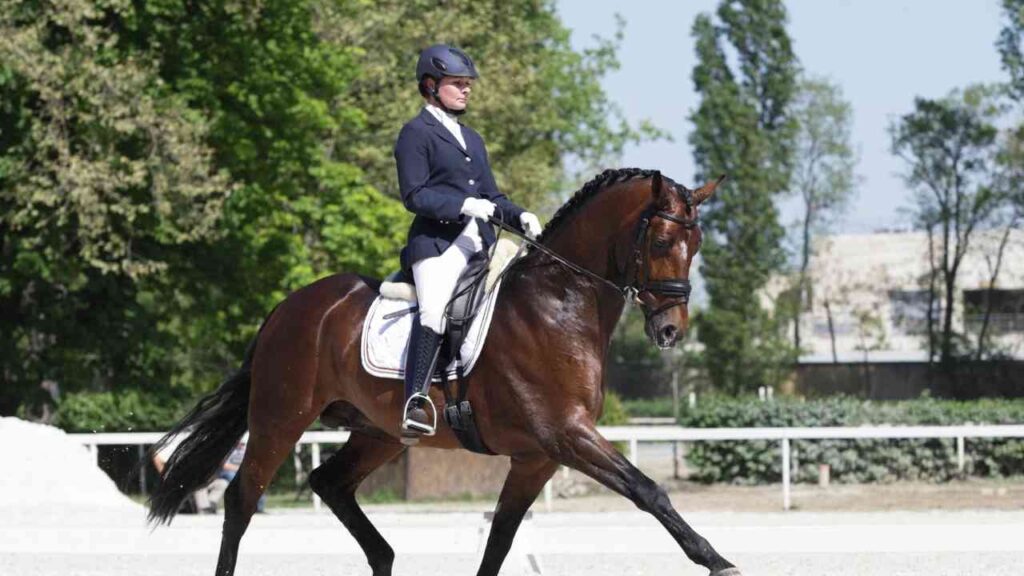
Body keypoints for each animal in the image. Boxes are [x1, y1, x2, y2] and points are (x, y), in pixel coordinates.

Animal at [147, 167, 740, 576]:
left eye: (697, 245)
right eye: (661, 242)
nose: (671, 331)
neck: (558, 304)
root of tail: (288, 307)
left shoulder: (537, 457)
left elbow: (500, 540)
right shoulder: (567, 435)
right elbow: (649, 491)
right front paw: (717, 560)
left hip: (378, 432)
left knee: (328, 483)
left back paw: (385, 558)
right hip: (280, 417)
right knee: (242, 499)